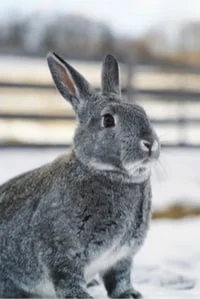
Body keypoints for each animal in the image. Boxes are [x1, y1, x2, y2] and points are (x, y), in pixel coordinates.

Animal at [0, 52, 159, 298]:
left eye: (142, 111)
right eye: (108, 120)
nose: (150, 143)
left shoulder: (121, 257)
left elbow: (120, 279)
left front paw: (130, 294)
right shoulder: (61, 253)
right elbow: (67, 280)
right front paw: (82, 296)